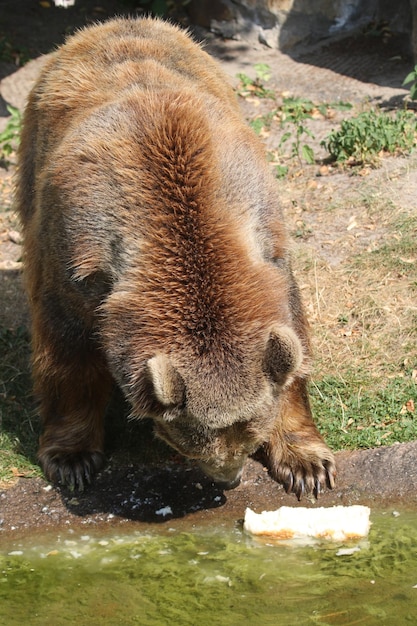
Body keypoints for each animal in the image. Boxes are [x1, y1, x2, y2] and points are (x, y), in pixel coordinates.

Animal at [16, 15, 334, 498]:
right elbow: (66, 348)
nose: (230, 479)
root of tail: (114, 23)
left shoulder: (264, 237)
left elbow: (292, 344)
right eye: (194, 443)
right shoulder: (74, 253)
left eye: (249, 436)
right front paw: (72, 457)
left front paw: (306, 463)